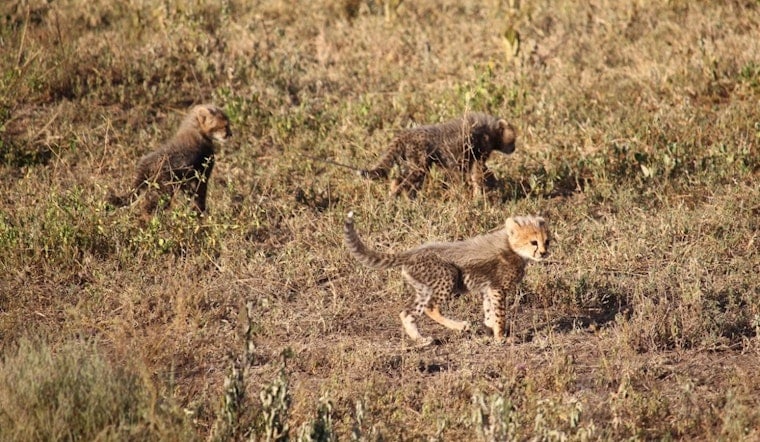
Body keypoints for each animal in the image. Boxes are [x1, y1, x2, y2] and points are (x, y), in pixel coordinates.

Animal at [343, 211, 550, 346]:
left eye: (546, 241)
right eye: (533, 242)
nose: (544, 253)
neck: (513, 247)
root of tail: (413, 252)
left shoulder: (488, 288)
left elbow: (489, 310)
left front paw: (488, 328)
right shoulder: (497, 287)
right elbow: (499, 314)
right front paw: (501, 337)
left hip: (423, 288)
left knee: (407, 312)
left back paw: (422, 340)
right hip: (447, 276)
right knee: (430, 308)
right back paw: (460, 326)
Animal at [358, 113, 517, 198]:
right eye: (513, 139)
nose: (514, 148)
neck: (491, 130)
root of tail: (405, 134)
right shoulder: (475, 156)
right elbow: (479, 175)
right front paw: (479, 196)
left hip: (412, 163)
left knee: (400, 181)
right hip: (419, 164)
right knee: (402, 182)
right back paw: (398, 200)